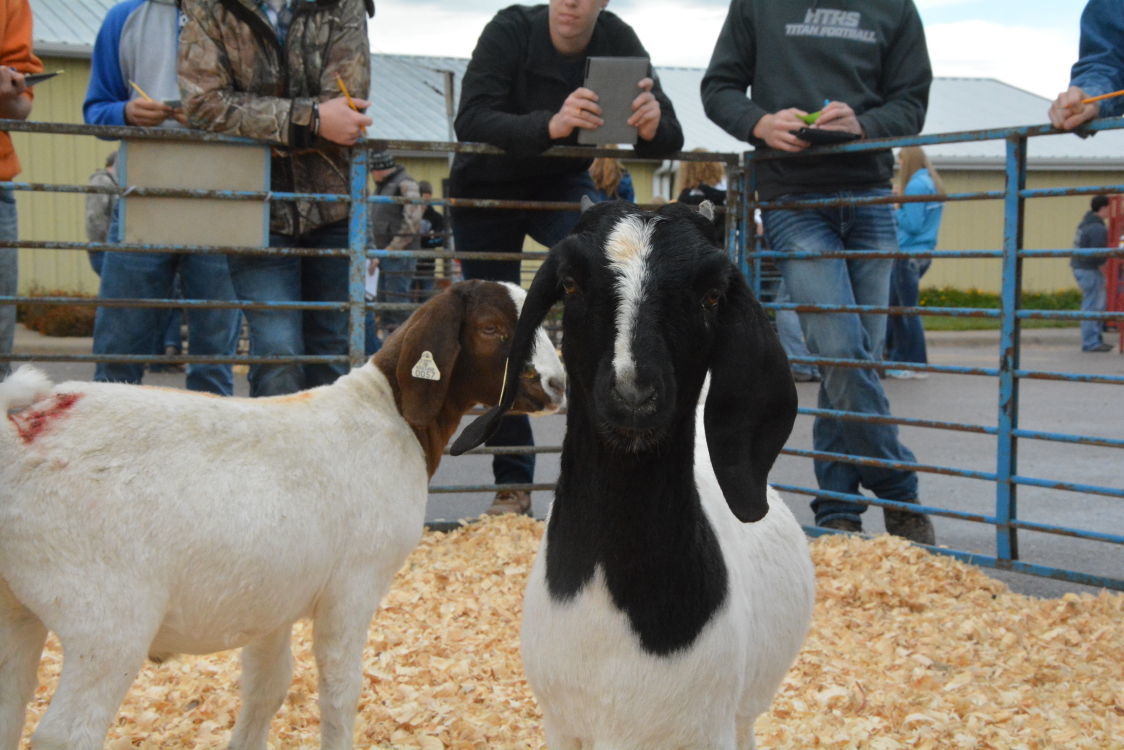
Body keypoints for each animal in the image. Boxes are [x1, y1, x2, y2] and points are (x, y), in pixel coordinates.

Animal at [0, 279, 562, 750]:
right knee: (64, 733)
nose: (558, 386)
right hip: (105, 616)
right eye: (491, 329)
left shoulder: (271, 600)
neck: (390, 415)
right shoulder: (352, 587)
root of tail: (22, 424)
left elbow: (267, 688)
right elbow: (340, 689)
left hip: (17, 608)